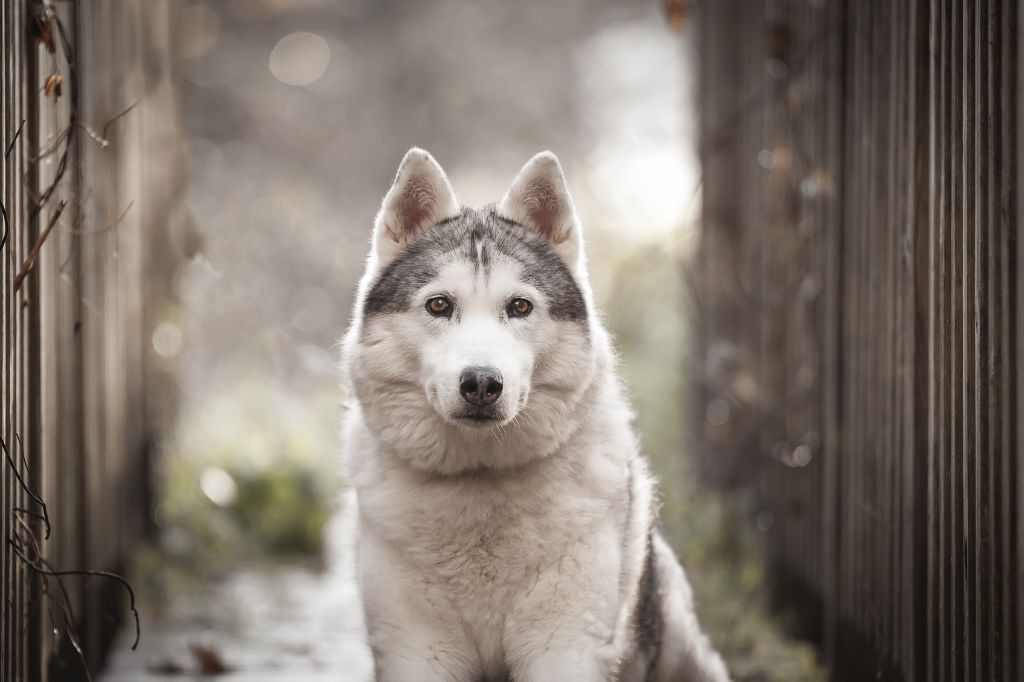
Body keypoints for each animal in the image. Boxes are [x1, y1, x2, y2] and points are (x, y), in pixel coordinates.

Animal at [340, 148, 730, 682]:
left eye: (520, 306)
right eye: (439, 305)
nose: (481, 383)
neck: (481, 479)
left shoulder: (565, 644)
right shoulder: (416, 648)